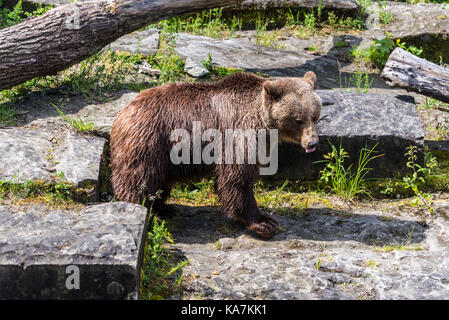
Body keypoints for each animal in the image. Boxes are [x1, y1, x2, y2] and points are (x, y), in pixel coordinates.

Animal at [110, 72, 320, 238]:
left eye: (315, 116)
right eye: (298, 120)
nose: (313, 143)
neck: (262, 122)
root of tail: (121, 115)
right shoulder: (237, 133)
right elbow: (237, 178)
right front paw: (263, 222)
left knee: (159, 183)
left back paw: (165, 208)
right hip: (150, 143)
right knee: (139, 179)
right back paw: (145, 211)